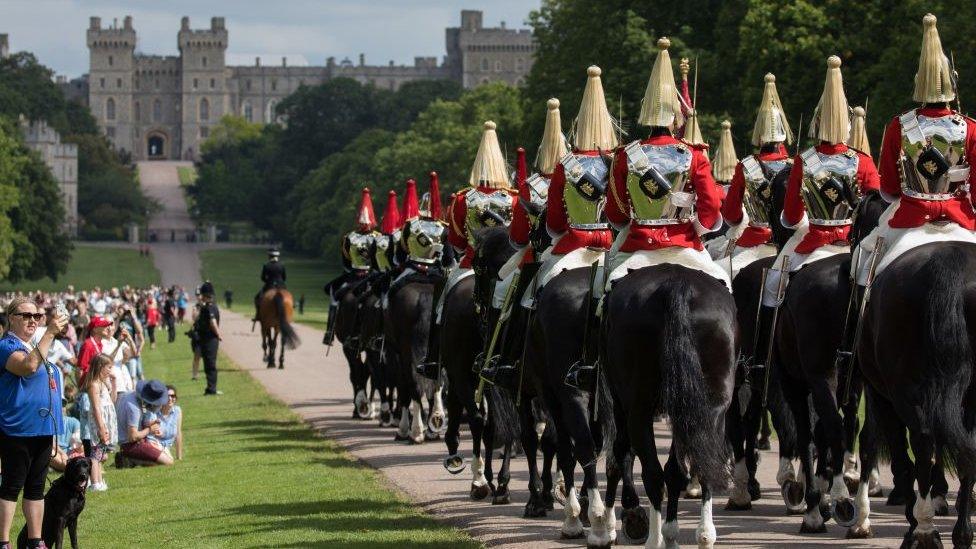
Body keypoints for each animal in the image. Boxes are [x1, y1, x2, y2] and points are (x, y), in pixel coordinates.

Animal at [604, 264, 732, 544]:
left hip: (637, 409)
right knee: (701, 463)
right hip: (710, 408)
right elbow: (676, 470)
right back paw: (703, 534)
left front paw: (608, 526)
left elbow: (620, 454)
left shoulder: (620, 403)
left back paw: (652, 539)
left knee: (651, 473)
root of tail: (676, 284)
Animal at [856, 241, 976, 548]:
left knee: (922, 443)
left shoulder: (879, 396)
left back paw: (924, 530)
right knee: (963, 450)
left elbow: (887, 450)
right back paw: (960, 533)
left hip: (903, 393)